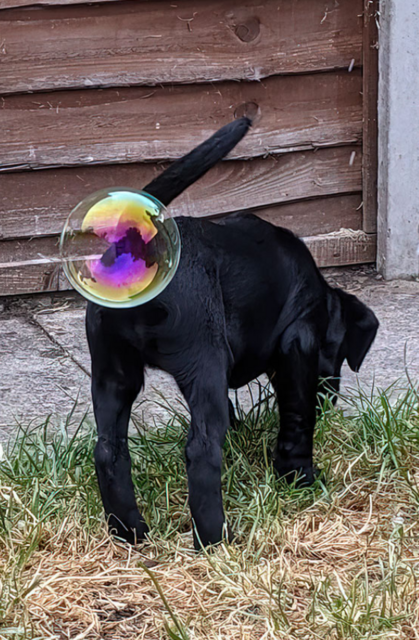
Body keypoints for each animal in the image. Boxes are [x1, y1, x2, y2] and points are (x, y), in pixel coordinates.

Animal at [86, 118, 379, 549]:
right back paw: (214, 538)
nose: (331, 397)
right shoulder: (299, 344)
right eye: (338, 351)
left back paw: (130, 530)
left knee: (109, 450)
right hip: (203, 359)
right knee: (202, 450)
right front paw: (299, 476)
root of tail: (143, 248)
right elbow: (297, 416)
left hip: (112, 371)